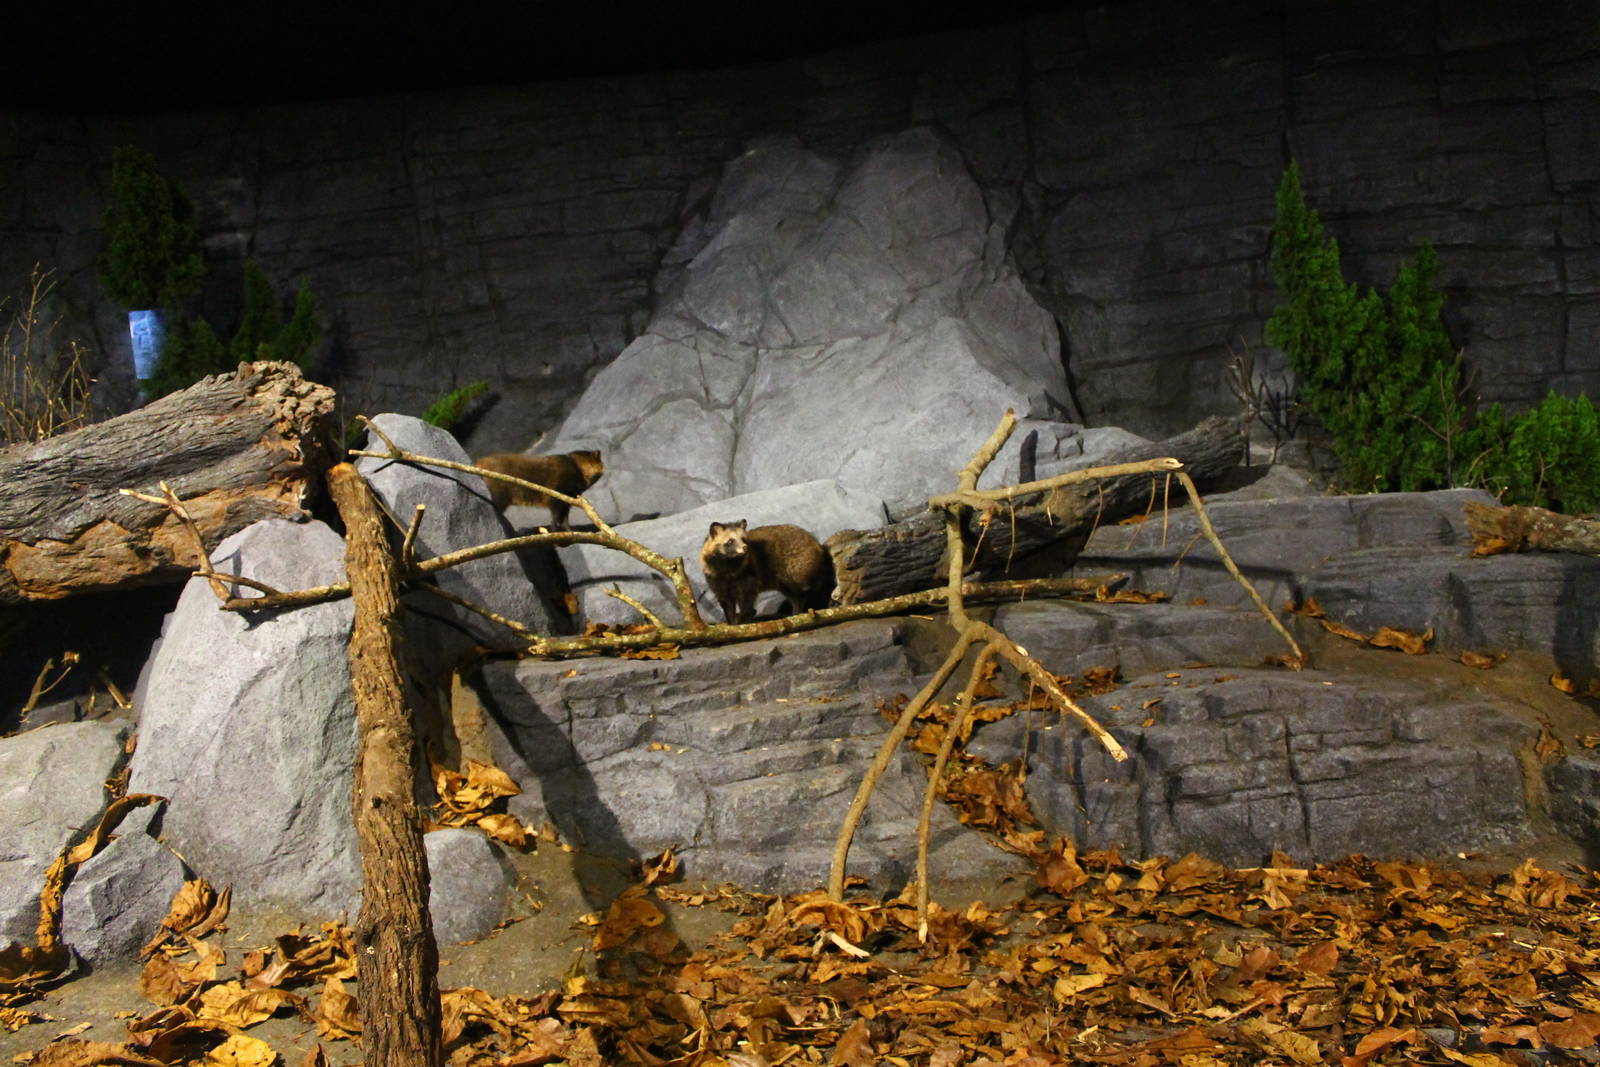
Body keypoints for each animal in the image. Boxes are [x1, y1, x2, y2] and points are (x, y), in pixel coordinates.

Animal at [474, 450, 604, 529]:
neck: (577, 467)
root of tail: (479, 462)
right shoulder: (557, 497)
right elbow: (556, 517)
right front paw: (555, 530)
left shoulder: (567, 501)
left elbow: (564, 519)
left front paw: (569, 531)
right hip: (500, 496)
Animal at [699, 520, 834, 624]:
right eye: (730, 541)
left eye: (743, 539)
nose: (745, 548)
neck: (728, 564)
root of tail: (815, 542)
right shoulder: (716, 581)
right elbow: (727, 605)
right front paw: (733, 625)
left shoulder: (748, 578)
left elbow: (747, 602)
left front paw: (743, 620)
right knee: (795, 595)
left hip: (796, 567)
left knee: (808, 589)